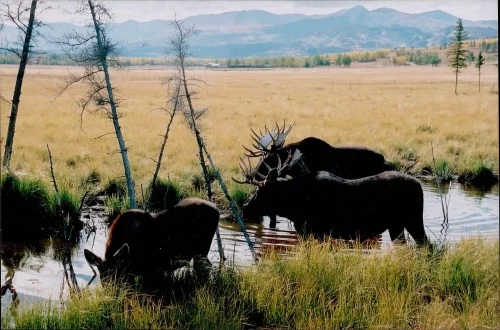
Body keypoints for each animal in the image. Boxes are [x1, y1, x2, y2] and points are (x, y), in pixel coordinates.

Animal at [237, 153, 430, 246]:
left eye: (260, 191)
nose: (245, 206)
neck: (292, 207)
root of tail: (419, 186)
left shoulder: (317, 232)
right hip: (396, 226)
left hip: (412, 220)